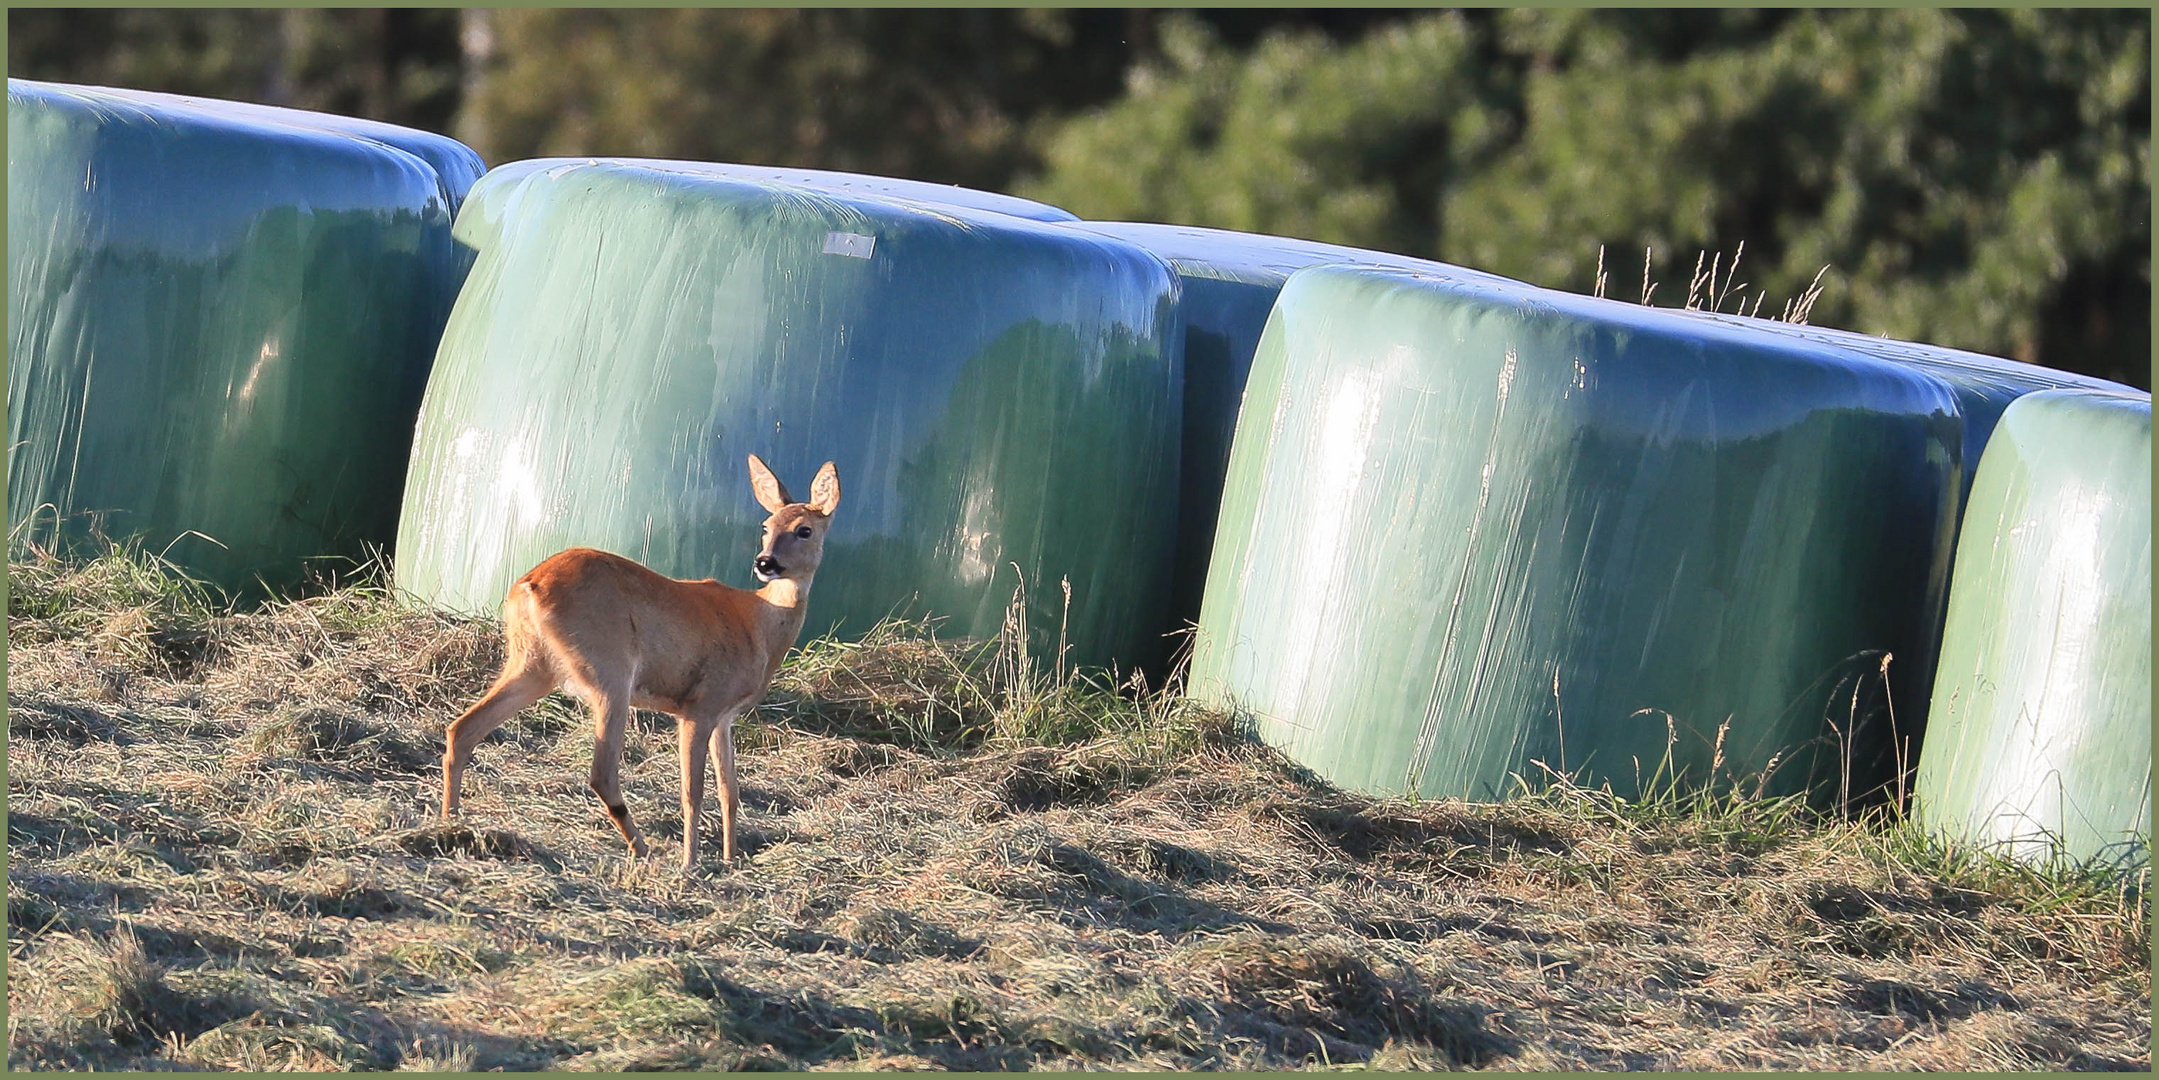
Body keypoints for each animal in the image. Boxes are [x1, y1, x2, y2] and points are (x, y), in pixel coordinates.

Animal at [440, 453, 842, 868]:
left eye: (804, 530)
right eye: (766, 526)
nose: (765, 562)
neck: (759, 621)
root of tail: (527, 585)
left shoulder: (724, 716)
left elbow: (730, 791)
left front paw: (730, 860)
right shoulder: (699, 704)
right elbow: (693, 791)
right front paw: (691, 863)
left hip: (532, 664)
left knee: (462, 728)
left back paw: (450, 824)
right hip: (610, 670)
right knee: (601, 773)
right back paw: (643, 849)